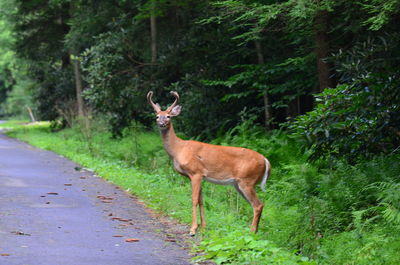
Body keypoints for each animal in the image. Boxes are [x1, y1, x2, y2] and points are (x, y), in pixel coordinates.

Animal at [147, 91, 272, 235]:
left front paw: (193, 229)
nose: (161, 123)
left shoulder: (195, 172)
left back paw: (251, 232)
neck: (178, 149)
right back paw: (254, 231)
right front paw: (203, 227)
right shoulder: (200, 176)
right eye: (157, 116)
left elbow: (194, 199)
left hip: (247, 180)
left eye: (168, 116)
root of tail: (265, 160)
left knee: (258, 205)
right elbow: (201, 200)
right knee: (257, 204)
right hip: (239, 183)